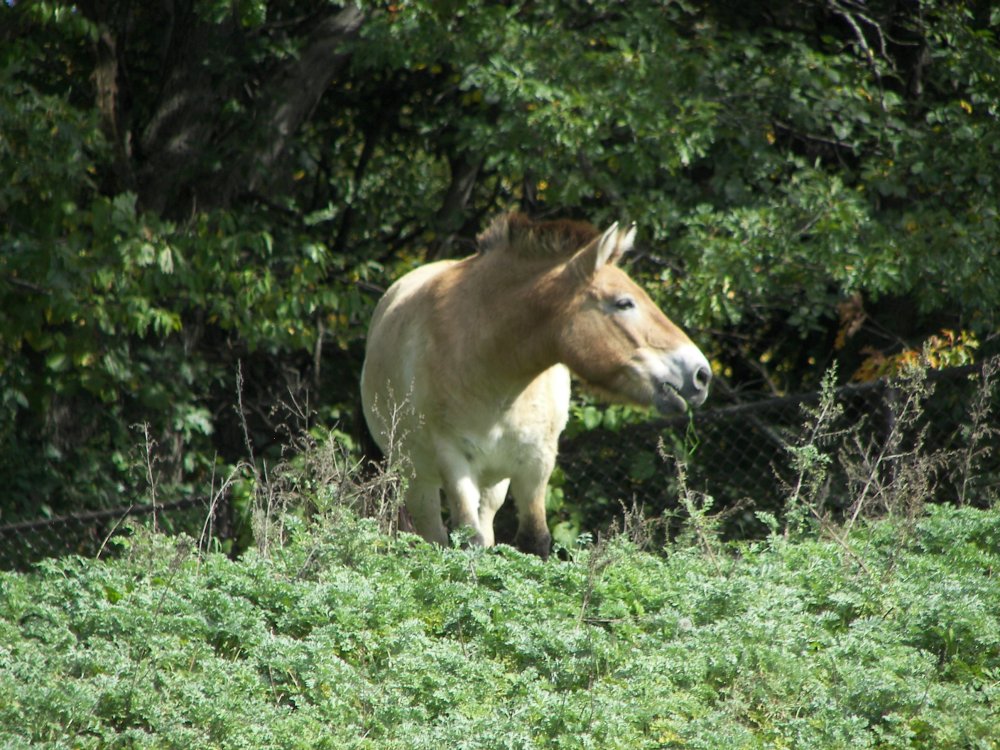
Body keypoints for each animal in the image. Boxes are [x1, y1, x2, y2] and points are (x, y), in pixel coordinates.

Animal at [360, 212, 712, 560]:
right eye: (624, 303)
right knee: (434, 534)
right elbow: (468, 541)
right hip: (418, 477)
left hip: (493, 482)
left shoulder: (536, 462)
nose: (701, 374)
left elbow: (534, 540)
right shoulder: (454, 460)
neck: (491, 370)